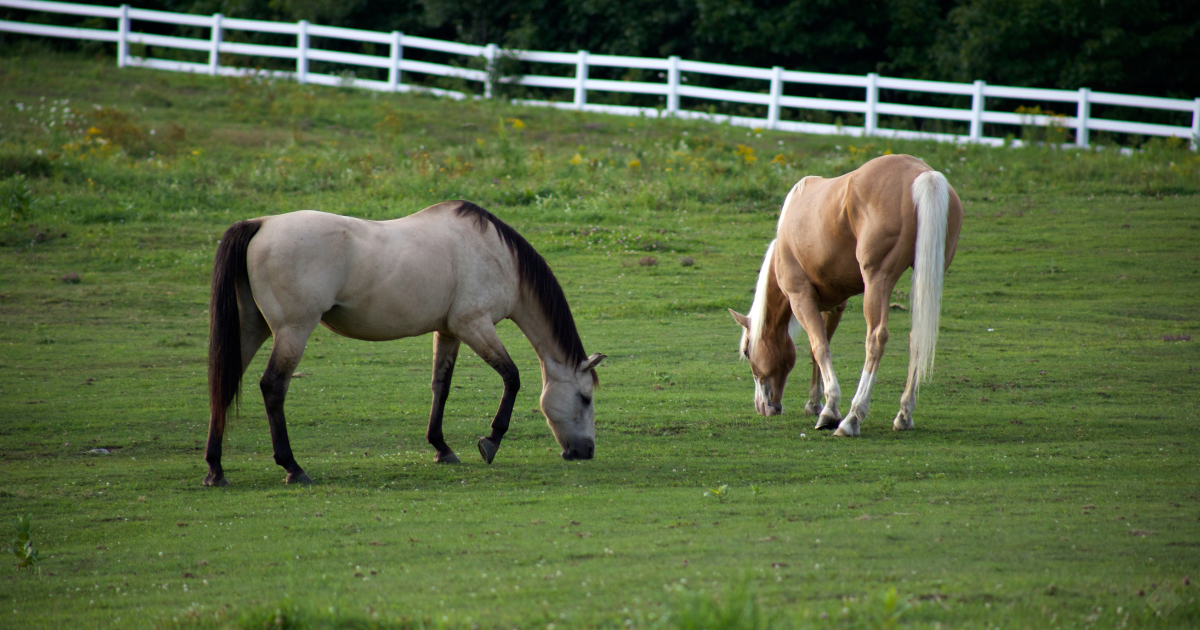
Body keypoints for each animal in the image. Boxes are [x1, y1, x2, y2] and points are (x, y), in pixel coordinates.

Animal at [204, 201, 605, 486]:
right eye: (585, 398)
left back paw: (216, 470)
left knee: (223, 384)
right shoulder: (474, 325)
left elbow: (441, 386)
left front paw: (442, 448)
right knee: (273, 387)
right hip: (292, 331)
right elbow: (512, 377)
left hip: (252, 328)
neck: (498, 255)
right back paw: (292, 467)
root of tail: (261, 223)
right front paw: (490, 441)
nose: (586, 451)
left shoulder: (449, 331)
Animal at [729, 154, 962, 436]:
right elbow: (818, 349)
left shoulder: (801, 298)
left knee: (875, 339)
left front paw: (829, 410)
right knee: (917, 337)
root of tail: (923, 174)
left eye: (747, 352)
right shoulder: (834, 305)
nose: (763, 407)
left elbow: (819, 347)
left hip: (877, 281)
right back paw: (904, 414)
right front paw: (814, 403)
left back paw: (852, 417)